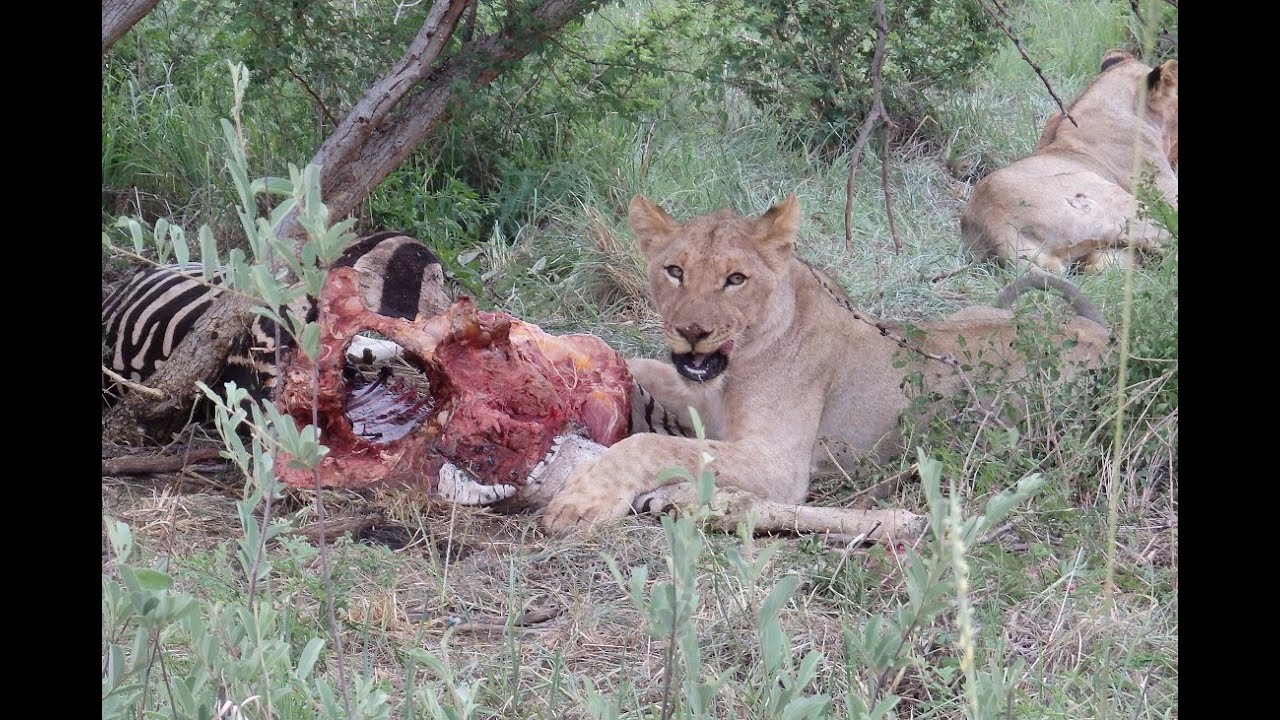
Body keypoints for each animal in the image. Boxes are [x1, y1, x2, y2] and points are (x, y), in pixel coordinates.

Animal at [540, 193, 1111, 530]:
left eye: (736, 279)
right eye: (675, 271)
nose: (693, 332)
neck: (734, 367)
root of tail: (1104, 333)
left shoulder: (778, 462)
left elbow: (651, 443)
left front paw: (583, 498)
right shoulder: (697, 391)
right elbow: (635, 365)